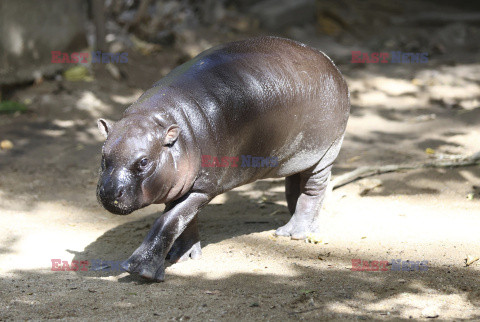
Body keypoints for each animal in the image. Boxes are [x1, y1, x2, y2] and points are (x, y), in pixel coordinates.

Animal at [95, 36, 348, 280]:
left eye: (144, 161)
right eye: (103, 156)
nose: (108, 192)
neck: (160, 121)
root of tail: (331, 63)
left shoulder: (203, 188)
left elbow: (168, 221)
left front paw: (139, 270)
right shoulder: (178, 183)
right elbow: (183, 220)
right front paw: (183, 256)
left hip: (326, 153)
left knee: (313, 190)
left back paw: (295, 233)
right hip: (297, 156)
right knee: (296, 183)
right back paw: (300, 226)